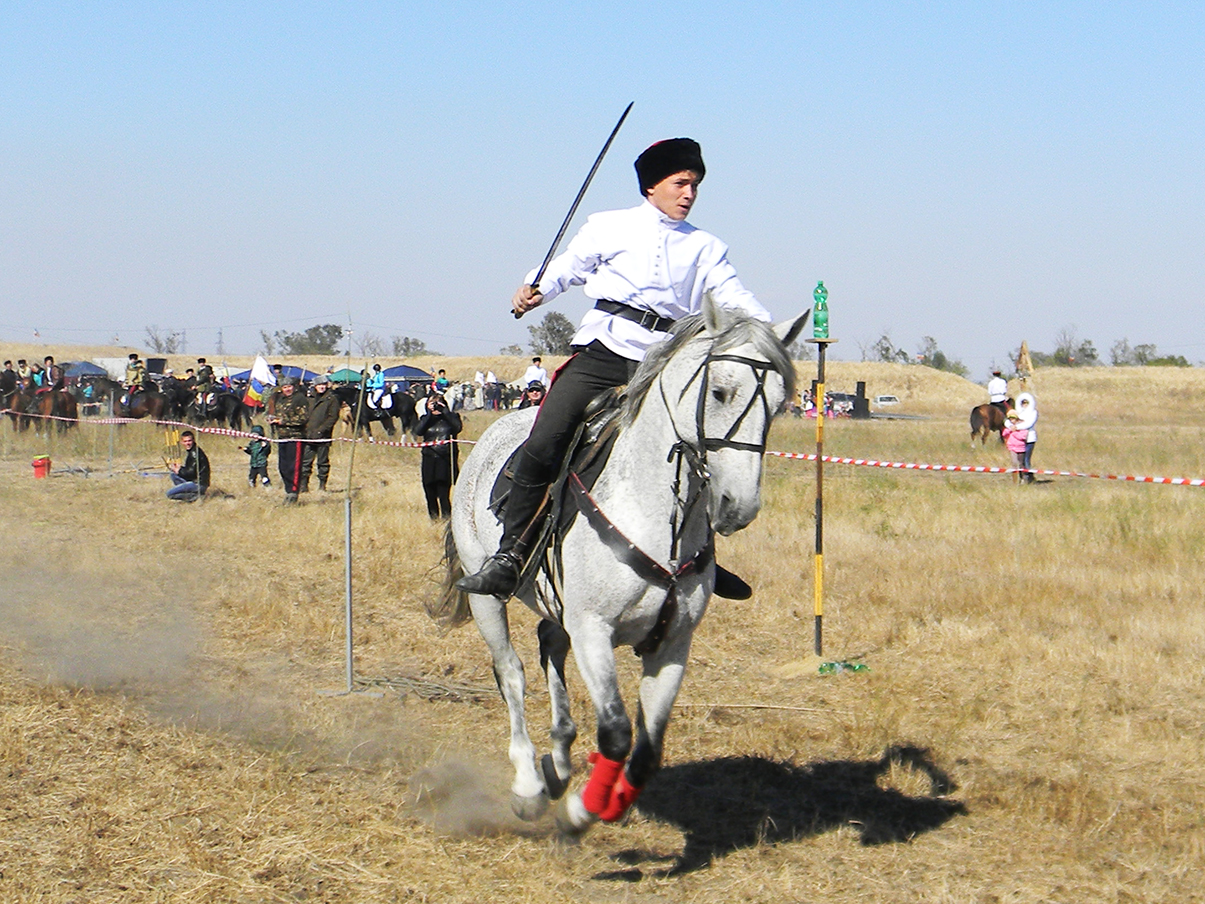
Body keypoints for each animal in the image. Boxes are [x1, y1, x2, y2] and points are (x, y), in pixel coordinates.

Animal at [438, 301, 804, 838]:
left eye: (778, 404)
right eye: (720, 391)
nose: (739, 507)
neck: (654, 513)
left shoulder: (672, 644)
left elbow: (648, 750)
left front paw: (607, 800)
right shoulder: (594, 630)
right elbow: (615, 732)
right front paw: (581, 811)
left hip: (558, 602)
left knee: (549, 646)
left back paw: (560, 761)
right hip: (486, 596)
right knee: (511, 672)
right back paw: (529, 784)